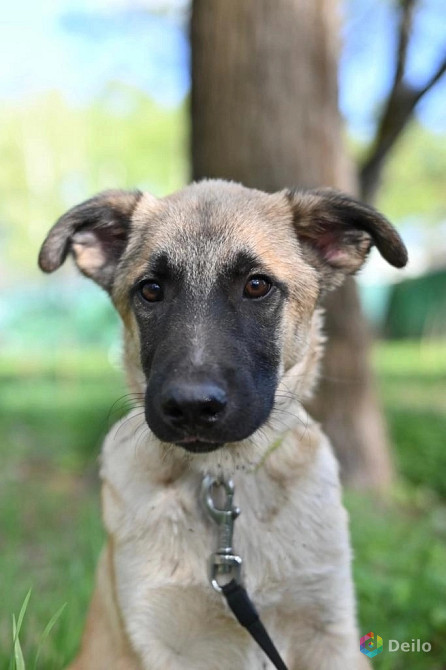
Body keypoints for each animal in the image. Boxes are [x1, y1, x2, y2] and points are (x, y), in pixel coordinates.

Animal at [39, 181, 408, 668]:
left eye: (256, 285)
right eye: (151, 290)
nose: (192, 406)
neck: (224, 476)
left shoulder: (331, 634)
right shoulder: (158, 639)